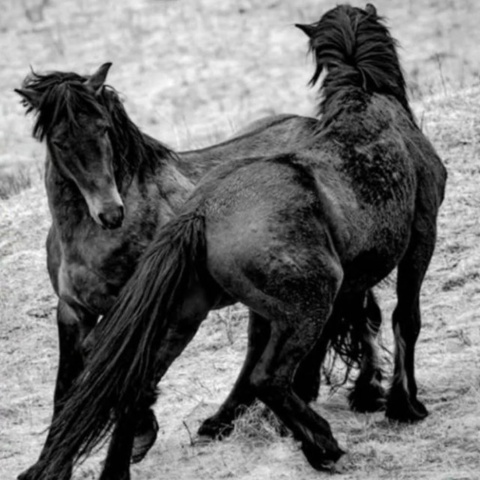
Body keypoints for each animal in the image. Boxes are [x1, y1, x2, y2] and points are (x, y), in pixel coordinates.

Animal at [25, 3, 447, 478]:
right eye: (60, 141)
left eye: (103, 129)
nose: (110, 212)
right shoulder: (75, 313)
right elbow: (71, 389)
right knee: (274, 364)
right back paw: (303, 431)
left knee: (315, 340)